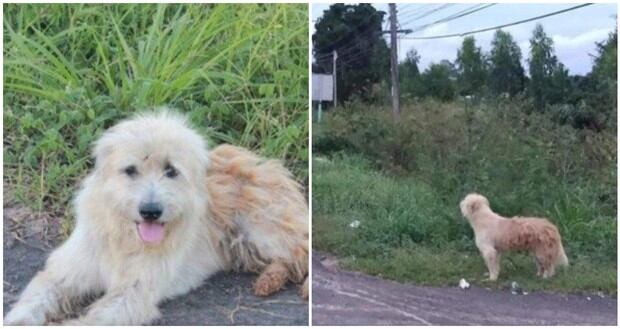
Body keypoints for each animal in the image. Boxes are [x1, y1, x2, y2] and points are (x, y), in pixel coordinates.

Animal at [3, 111, 308, 326]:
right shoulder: (66, 272)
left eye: (171, 171)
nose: (151, 211)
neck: (124, 239)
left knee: (298, 255)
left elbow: (90, 319)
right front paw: (19, 319)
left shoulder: (133, 293)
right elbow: (37, 296)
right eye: (130, 170)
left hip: (261, 230)